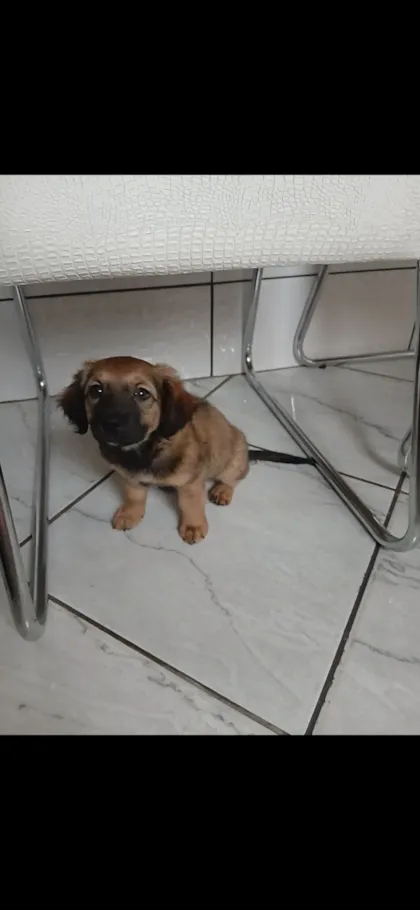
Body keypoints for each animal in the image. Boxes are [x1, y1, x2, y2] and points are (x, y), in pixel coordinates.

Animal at [58, 356, 313, 545]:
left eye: (142, 393)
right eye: (96, 391)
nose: (110, 424)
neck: (144, 451)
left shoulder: (190, 483)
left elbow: (190, 505)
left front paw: (192, 526)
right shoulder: (130, 478)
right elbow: (134, 496)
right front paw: (130, 513)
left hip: (233, 460)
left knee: (235, 477)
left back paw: (222, 490)